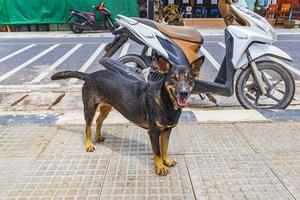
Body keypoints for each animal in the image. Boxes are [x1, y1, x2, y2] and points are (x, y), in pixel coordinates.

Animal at [51, 56, 205, 175]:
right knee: (88, 126)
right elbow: (157, 152)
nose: (184, 93)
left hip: (106, 107)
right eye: (173, 78)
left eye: (190, 79)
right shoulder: (154, 132)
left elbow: (164, 148)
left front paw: (166, 160)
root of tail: (89, 75)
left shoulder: (167, 130)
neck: (165, 100)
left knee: (99, 120)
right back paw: (89, 144)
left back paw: (99, 136)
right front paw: (160, 167)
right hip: (89, 108)